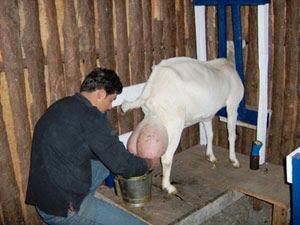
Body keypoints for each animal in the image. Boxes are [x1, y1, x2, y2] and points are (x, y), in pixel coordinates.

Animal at [121, 57, 244, 194]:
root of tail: (150, 91)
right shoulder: (233, 103)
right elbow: (232, 135)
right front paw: (234, 160)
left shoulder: (207, 114)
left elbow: (210, 134)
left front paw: (210, 156)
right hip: (174, 125)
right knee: (166, 158)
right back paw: (168, 187)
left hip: (151, 116)